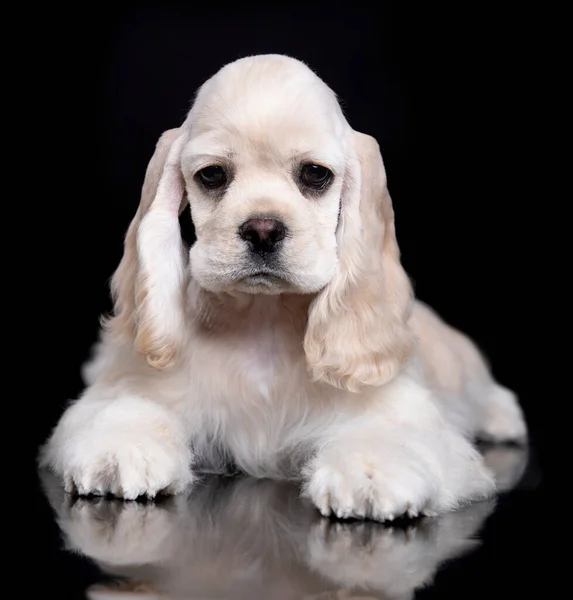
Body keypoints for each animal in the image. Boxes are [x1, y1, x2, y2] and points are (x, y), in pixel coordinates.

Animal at [38, 54, 524, 520]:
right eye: (212, 175)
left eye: (315, 174)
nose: (263, 230)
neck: (263, 319)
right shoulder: (137, 386)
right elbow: (127, 408)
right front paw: (120, 451)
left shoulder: (403, 410)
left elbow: (391, 433)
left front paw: (371, 474)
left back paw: (505, 420)